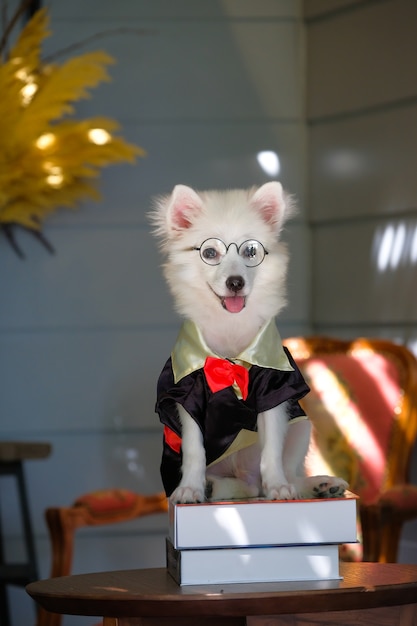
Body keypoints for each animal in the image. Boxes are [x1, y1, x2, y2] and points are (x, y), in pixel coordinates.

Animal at [151, 182, 346, 502]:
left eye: (251, 251)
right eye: (210, 252)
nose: (235, 282)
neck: (230, 327)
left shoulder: (274, 390)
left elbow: (272, 452)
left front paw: (279, 486)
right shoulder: (187, 395)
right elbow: (194, 450)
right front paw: (190, 488)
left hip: (302, 426)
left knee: (277, 477)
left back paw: (318, 485)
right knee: (243, 485)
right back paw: (211, 486)